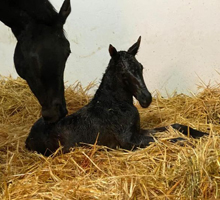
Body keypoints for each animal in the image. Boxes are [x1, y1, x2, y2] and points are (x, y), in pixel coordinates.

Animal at [25, 36, 208, 155]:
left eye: (141, 67)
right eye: (123, 74)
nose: (146, 98)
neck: (113, 106)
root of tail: (28, 138)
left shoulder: (138, 131)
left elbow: (175, 127)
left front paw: (203, 134)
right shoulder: (129, 142)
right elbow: (167, 139)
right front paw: (188, 142)